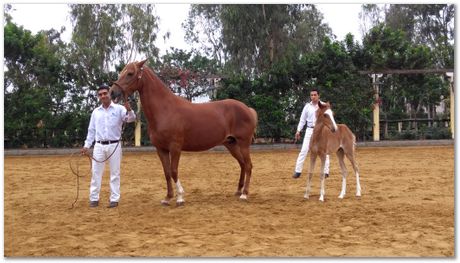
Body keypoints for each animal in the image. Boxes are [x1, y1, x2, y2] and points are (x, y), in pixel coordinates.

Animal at [109, 59, 256, 206]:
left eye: (130, 73)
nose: (112, 92)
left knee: (248, 165)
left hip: (243, 144)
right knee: (242, 164)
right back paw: (238, 191)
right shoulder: (161, 149)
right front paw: (168, 197)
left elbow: (174, 171)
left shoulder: (175, 147)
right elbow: (167, 172)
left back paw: (244, 194)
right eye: (121, 72)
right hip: (231, 144)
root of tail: (248, 109)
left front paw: (180, 197)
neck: (165, 109)